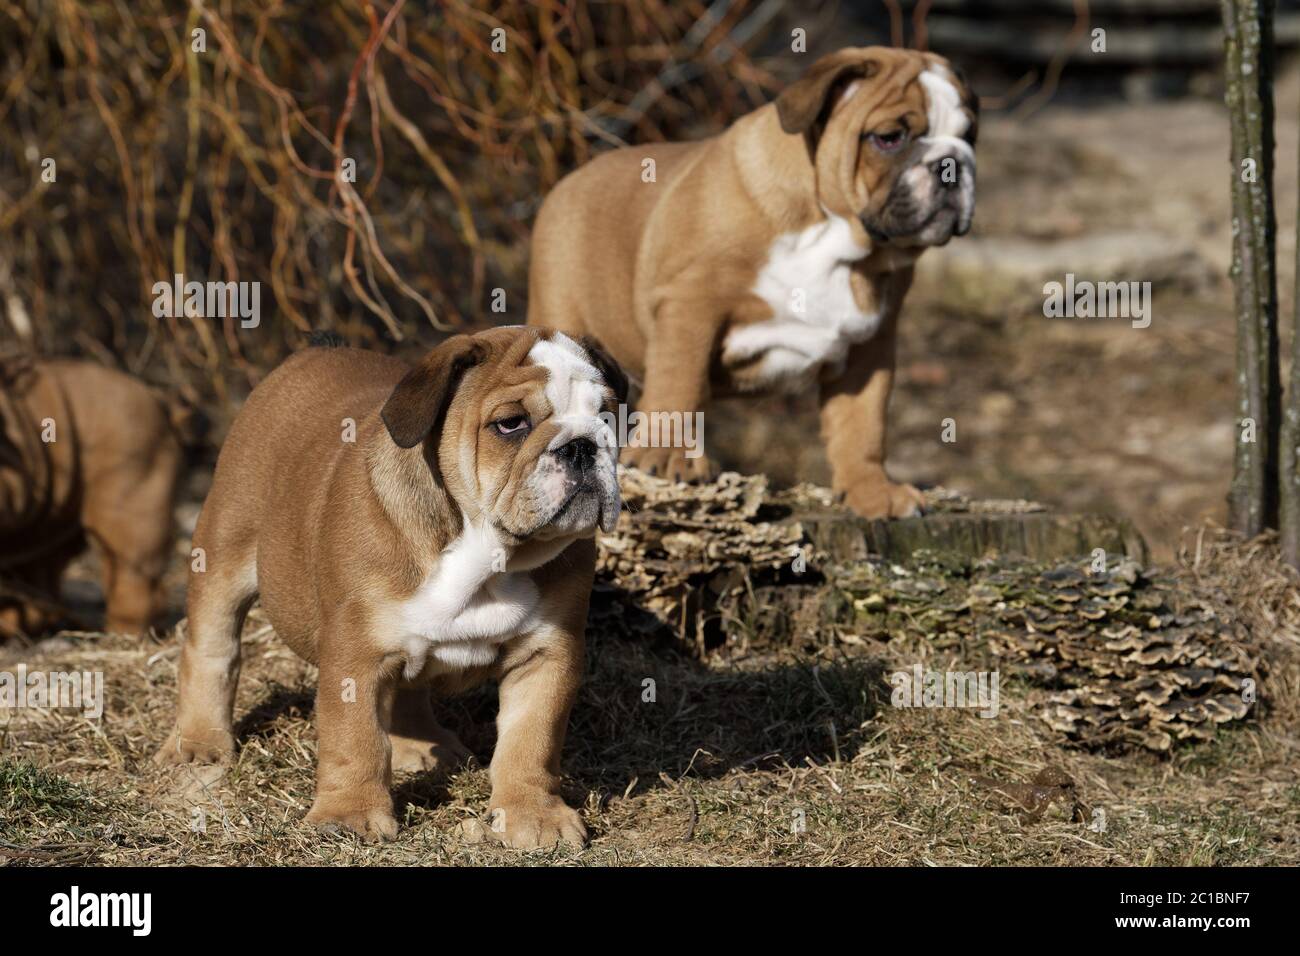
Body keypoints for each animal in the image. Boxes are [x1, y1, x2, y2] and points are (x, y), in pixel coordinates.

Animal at [0, 356, 184, 639]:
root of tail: (157, 398)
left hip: (133, 488)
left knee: (132, 569)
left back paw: (125, 634)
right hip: (49, 520)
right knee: (40, 575)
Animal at [157, 330, 624, 853]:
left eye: (608, 416)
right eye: (510, 424)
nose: (582, 445)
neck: (487, 553)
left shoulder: (547, 654)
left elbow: (531, 741)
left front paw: (533, 814)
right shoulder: (356, 652)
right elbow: (354, 738)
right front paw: (350, 814)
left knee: (408, 689)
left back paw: (420, 745)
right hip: (224, 547)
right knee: (212, 647)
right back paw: (199, 744)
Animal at [525, 47, 977, 520]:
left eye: (971, 136)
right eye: (889, 138)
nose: (952, 162)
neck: (836, 240)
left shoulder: (870, 347)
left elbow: (863, 425)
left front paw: (871, 491)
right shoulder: (690, 306)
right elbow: (679, 384)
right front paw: (666, 457)